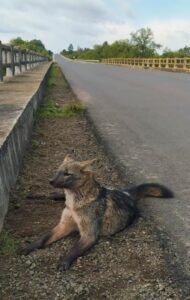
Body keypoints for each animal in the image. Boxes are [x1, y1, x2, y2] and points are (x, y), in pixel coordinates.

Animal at [17, 156, 174, 270]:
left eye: (67, 174)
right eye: (58, 171)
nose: (50, 181)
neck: (75, 203)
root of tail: (126, 193)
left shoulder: (89, 234)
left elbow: (74, 249)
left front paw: (64, 261)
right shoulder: (63, 225)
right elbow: (43, 239)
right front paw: (28, 247)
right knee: (53, 196)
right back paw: (32, 196)